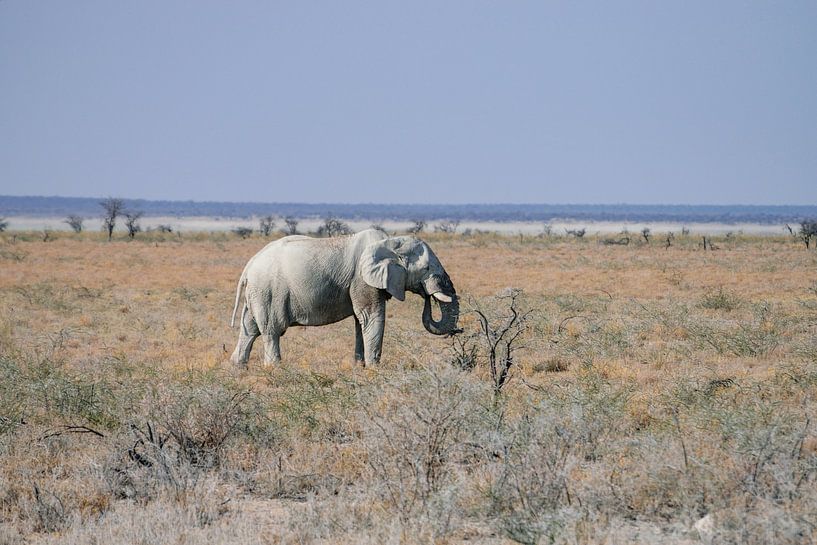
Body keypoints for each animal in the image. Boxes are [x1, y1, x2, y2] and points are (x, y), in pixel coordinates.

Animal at [230, 226, 460, 366]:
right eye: (427, 268)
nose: (428, 297)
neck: (390, 241)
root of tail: (249, 266)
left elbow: (361, 322)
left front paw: (360, 367)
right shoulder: (362, 279)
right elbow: (372, 318)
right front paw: (374, 370)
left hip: (258, 293)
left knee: (249, 329)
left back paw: (237, 369)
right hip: (268, 291)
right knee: (272, 331)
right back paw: (275, 370)